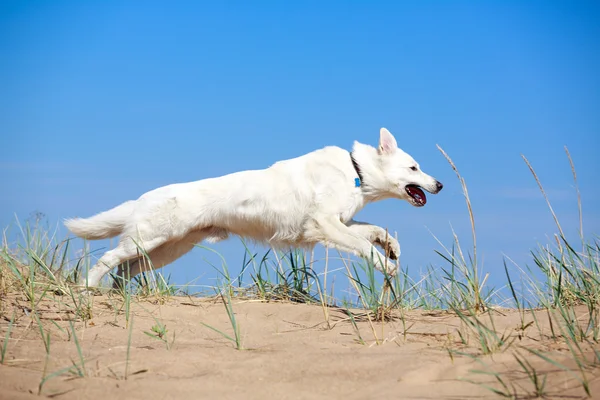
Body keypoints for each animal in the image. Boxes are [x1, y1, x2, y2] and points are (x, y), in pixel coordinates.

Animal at [65, 128, 442, 288]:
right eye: (414, 168)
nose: (439, 185)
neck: (356, 171)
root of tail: (143, 197)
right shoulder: (324, 224)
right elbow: (364, 245)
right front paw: (386, 265)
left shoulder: (336, 224)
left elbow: (372, 230)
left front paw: (391, 247)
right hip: (149, 240)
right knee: (107, 260)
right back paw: (87, 287)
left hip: (166, 250)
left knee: (125, 271)